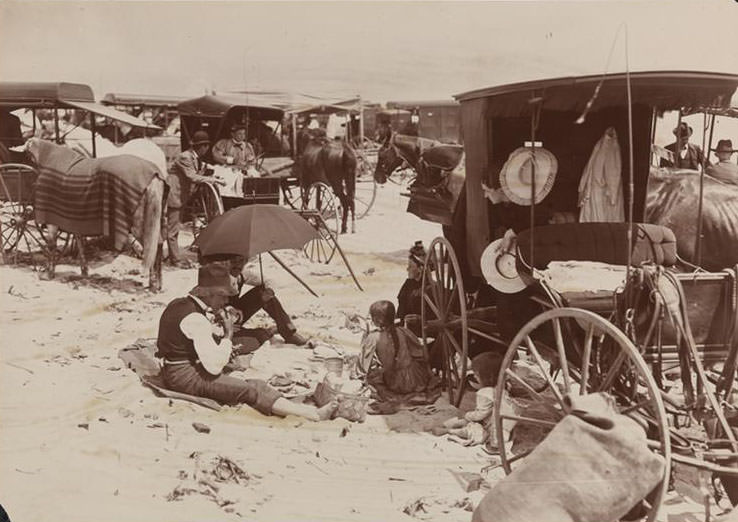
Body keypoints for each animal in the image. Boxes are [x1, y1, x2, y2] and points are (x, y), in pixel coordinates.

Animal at [24, 138, 167, 290]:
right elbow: (79, 243)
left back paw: (153, 284)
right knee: (159, 243)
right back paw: (158, 283)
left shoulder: (52, 220)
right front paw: (84, 272)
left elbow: (52, 243)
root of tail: (154, 176)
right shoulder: (74, 218)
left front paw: (48, 274)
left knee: (152, 244)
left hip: (140, 223)